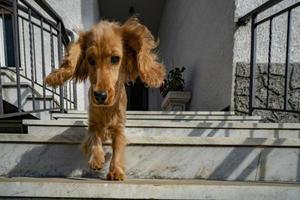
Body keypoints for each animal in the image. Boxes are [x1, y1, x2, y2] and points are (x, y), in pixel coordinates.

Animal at [45, 16, 165, 180]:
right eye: (90, 59)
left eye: (115, 59)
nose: (100, 95)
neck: (107, 110)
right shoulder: (93, 124)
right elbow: (94, 137)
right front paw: (96, 159)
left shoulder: (119, 127)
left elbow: (118, 147)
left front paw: (116, 171)